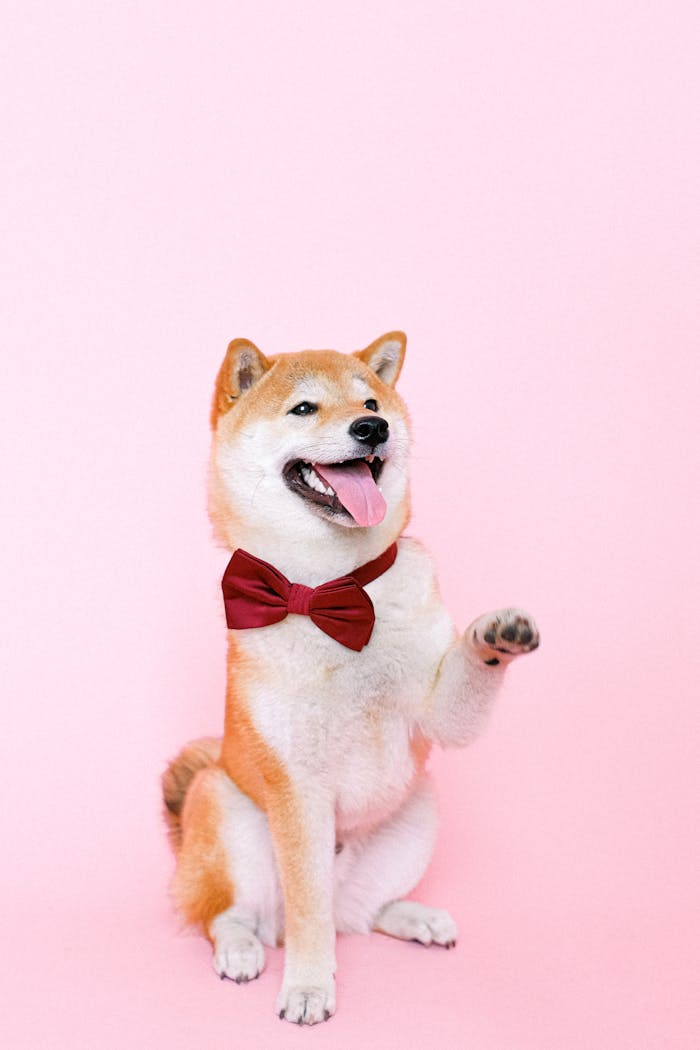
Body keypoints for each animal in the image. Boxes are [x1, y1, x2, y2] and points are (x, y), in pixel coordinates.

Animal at [161, 329, 541, 1024]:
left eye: (372, 401)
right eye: (304, 408)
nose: (373, 428)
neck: (333, 591)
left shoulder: (437, 710)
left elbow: (461, 687)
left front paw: (495, 635)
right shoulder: (298, 790)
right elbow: (308, 916)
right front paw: (310, 987)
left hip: (418, 811)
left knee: (359, 915)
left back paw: (413, 918)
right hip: (223, 804)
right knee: (233, 915)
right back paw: (240, 950)